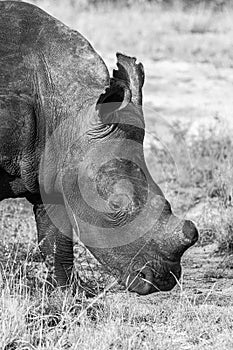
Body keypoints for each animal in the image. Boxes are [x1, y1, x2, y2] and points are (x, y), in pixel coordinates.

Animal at [0, 1, 198, 294]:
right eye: (115, 205)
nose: (162, 281)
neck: (69, 112)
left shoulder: (49, 170)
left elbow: (56, 239)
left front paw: (68, 293)